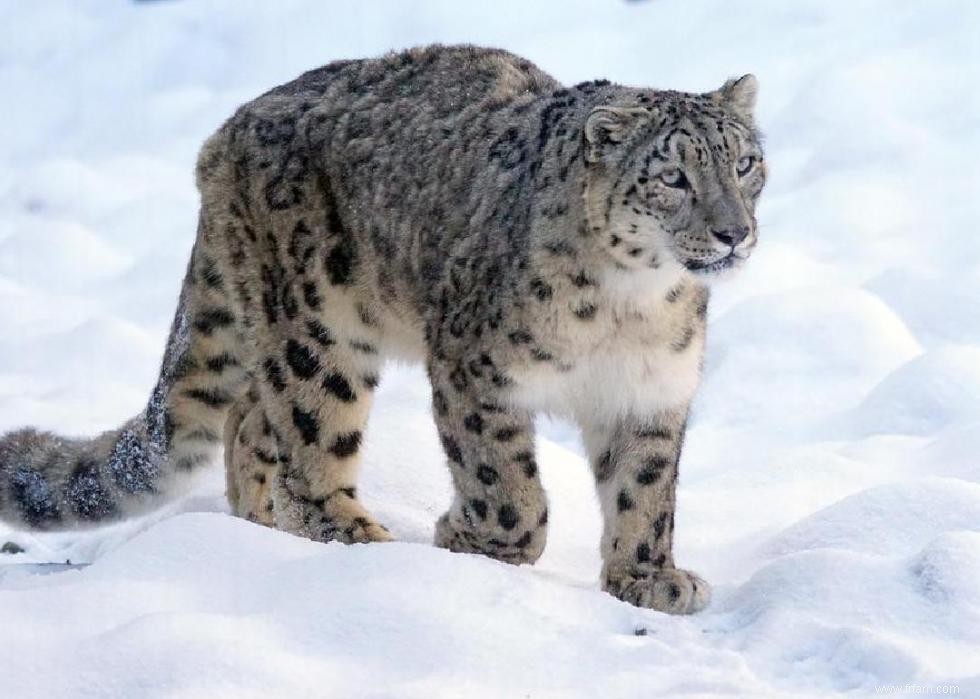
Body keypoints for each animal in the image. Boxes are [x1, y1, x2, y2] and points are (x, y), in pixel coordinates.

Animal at [0, 45, 764, 612]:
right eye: (672, 176)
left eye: (745, 162)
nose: (735, 231)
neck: (631, 306)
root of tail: (225, 136)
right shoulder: (474, 369)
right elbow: (505, 483)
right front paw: (473, 538)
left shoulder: (651, 392)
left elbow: (645, 490)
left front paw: (649, 578)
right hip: (319, 331)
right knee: (307, 436)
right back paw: (352, 535)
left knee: (249, 418)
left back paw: (259, 528)